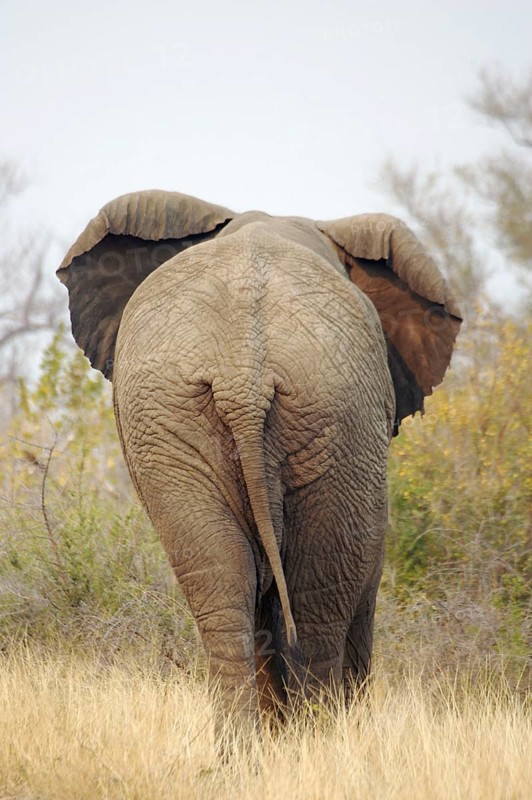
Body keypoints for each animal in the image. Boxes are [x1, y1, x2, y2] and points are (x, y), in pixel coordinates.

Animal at [57, 190, 461, 732]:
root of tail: (242, 374)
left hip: (181, 420)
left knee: (222, 578)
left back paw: (247, 743)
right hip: (328, 414)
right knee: (316, 591)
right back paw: (316, 738)